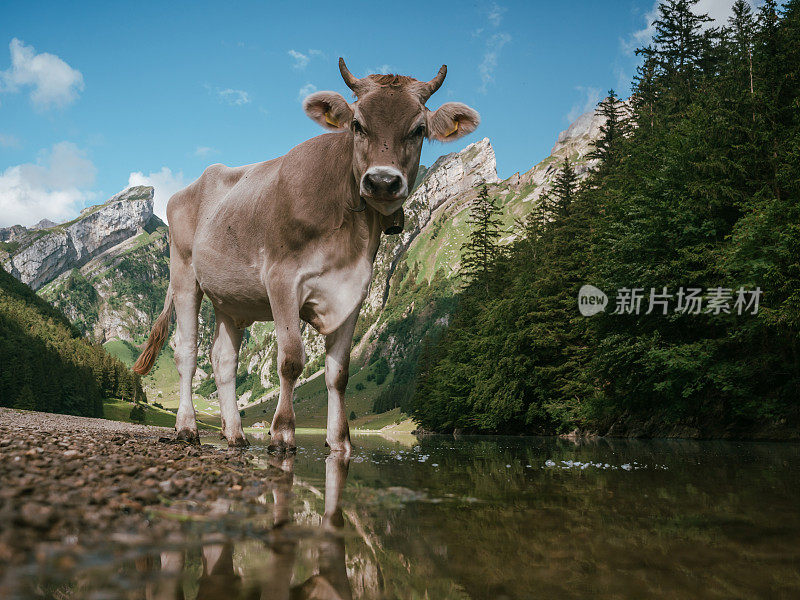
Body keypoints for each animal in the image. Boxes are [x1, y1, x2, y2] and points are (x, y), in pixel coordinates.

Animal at [134, 62, 478, 454]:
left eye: (419, 129)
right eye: (357, 125)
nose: (382, 182)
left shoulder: (353, 292)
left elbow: (338, 373)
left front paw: (339, 440)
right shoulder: (282, 280)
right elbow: (291, 360)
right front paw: (282, 432)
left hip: (230, 298)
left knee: (222, 360)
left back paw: (235, 434)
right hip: (184, 276)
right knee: (186, 353)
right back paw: (187, 427)